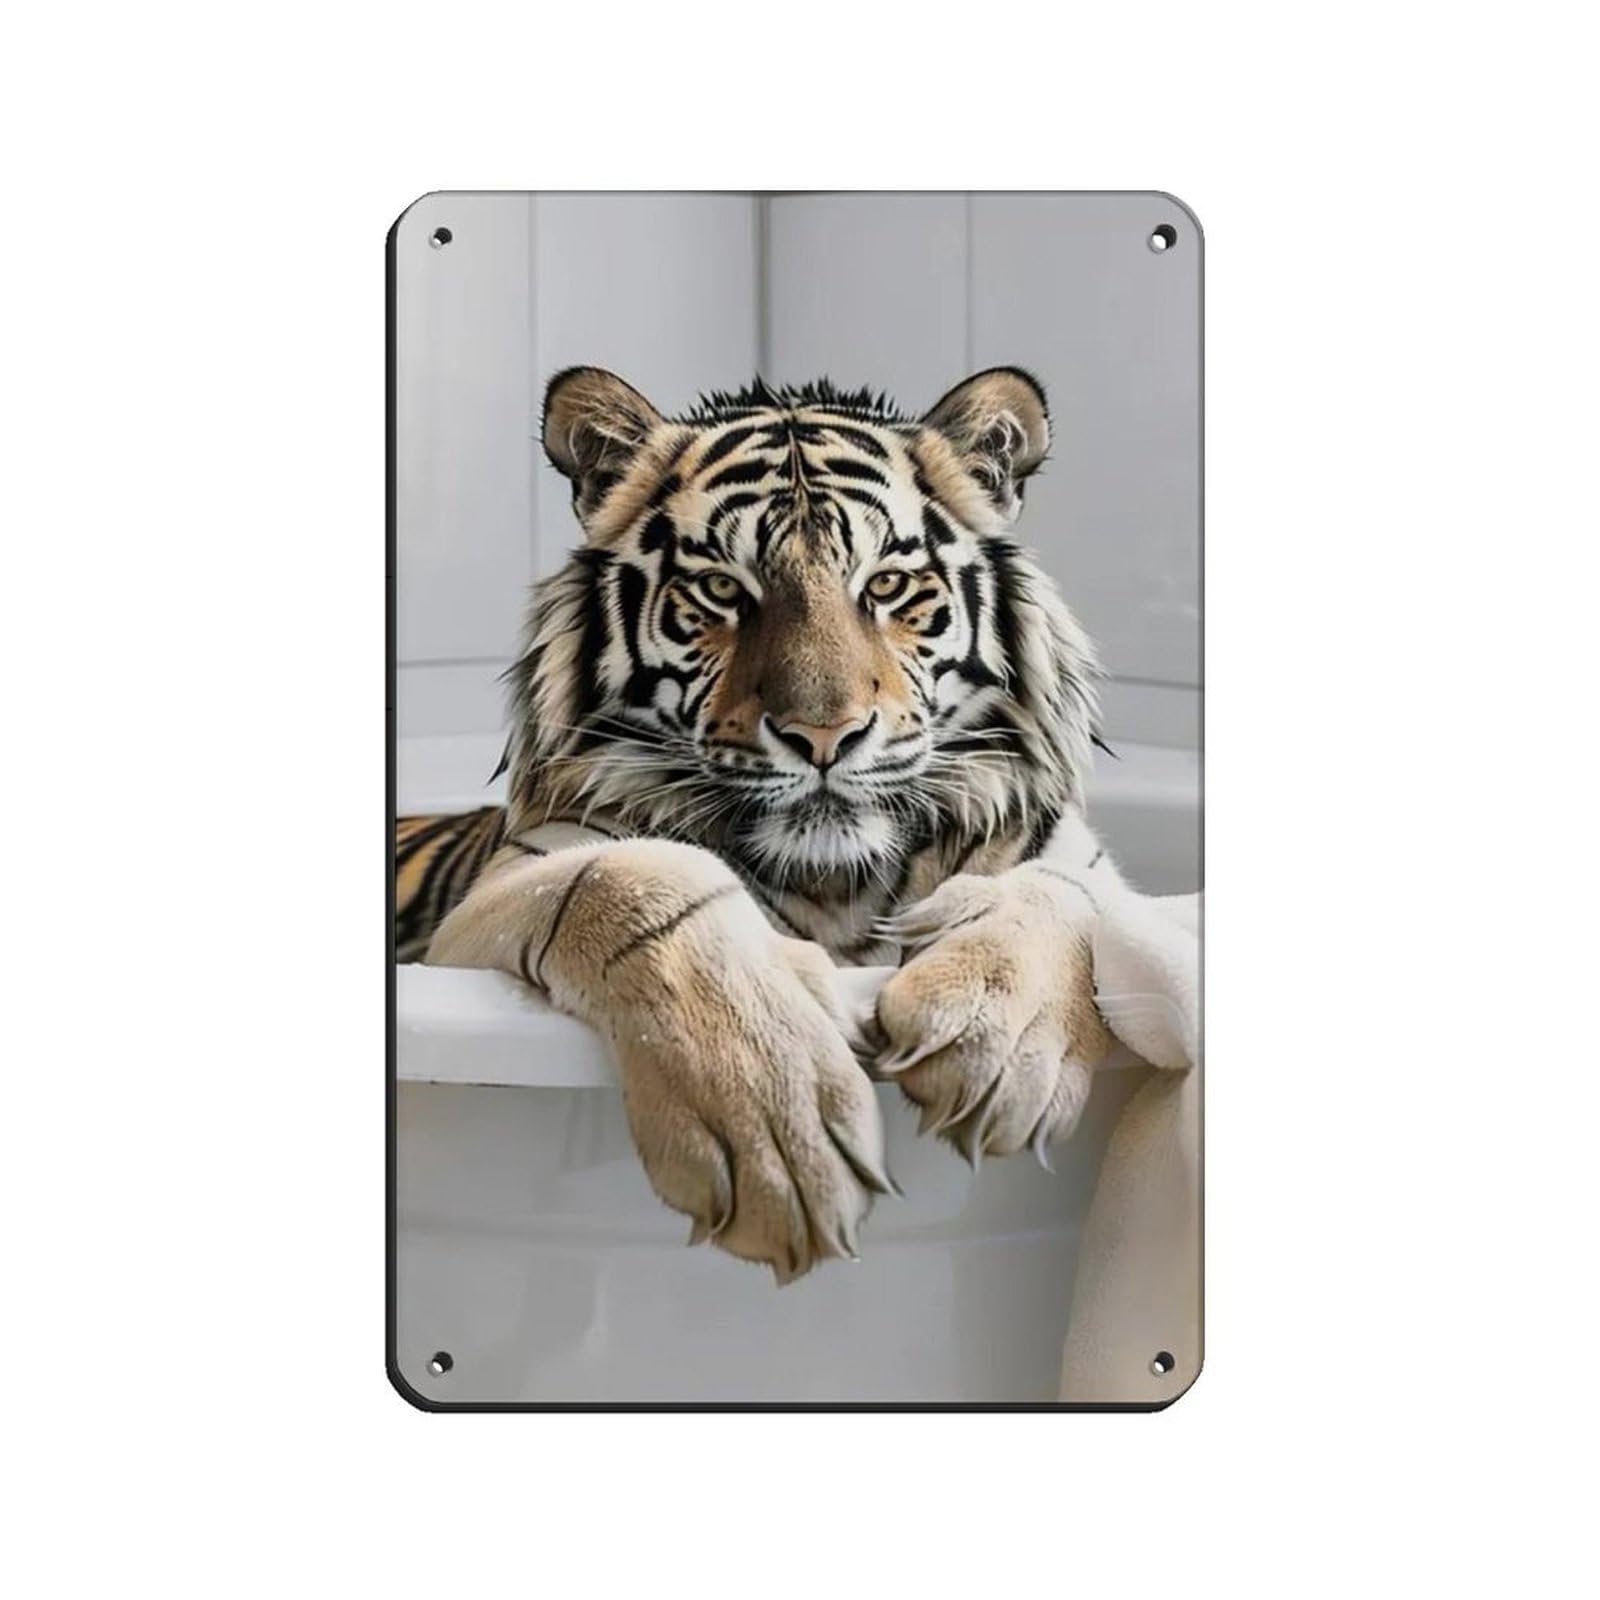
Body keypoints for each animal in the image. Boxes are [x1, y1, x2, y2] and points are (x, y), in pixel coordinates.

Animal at [398, 364, 1127, 1282]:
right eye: (721, 590)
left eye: (886, 586)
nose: (824, 736)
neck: (840, 882)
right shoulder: (509, 886)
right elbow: (643, 886)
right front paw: (779, 1142)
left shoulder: (1075, 859)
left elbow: (1059, 890)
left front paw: (998, 1046)